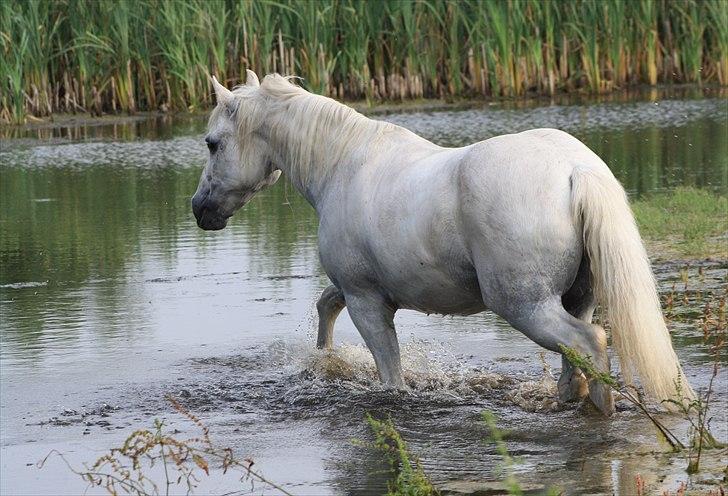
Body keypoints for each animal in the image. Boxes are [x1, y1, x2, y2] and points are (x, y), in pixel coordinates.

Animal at [192, 70, 692, 414]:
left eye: (213, 143)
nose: (200, 210)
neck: (344, 165)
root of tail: (574, 170)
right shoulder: (360, 289)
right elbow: (324, 304)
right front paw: (324, 360)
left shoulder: (366, 301)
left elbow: (390, 373)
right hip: (576, 297)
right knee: (578, 360)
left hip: (526, 306)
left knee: (591, 344)